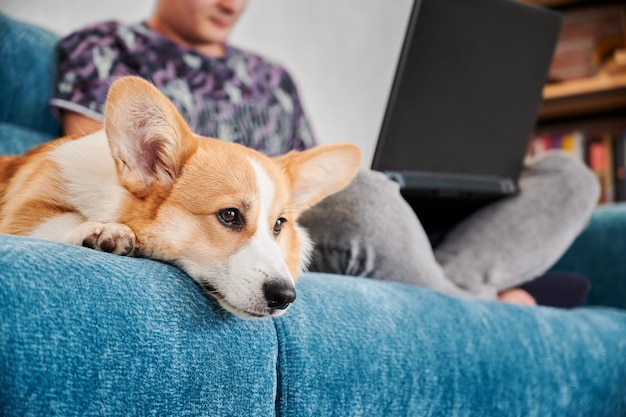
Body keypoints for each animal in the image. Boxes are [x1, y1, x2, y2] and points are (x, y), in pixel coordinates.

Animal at [0, 76, 358, 316]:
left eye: (279, 225)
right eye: (229, 215)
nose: (284, 296)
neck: (113, 189)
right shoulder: (24, 209)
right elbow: (58, 219)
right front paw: (103, 231)